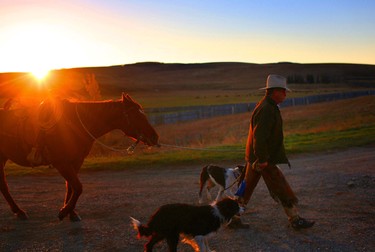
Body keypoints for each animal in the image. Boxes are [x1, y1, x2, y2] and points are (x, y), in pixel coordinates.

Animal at [0, 93, 159, 221]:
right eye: (136, 116)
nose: (154, 137)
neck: (74, 124)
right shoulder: (61, 163)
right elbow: (78, 187)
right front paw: (64, 212)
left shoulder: (76, 162)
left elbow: (71, 187)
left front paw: (71, 212)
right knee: (4, 185)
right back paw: (19, 211)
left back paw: (18, 211)